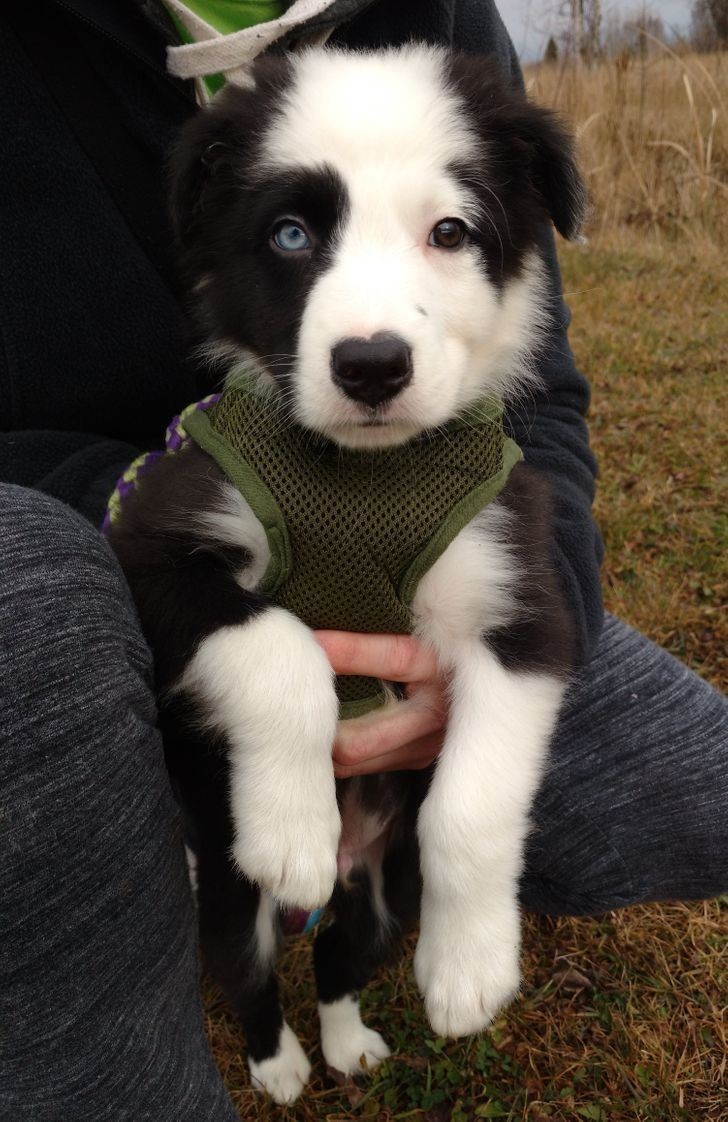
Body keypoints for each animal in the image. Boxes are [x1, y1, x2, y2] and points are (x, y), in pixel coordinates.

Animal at [107, 46, 583, 1104]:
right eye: (290, 235)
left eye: (450, 232)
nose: (371, 366)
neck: (365, 473)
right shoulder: (154, 541)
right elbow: (279, 644)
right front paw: (289, 825)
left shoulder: (520, 593)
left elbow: (472, 801)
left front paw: (470, 966)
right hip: (229, 898)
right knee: (248, 974)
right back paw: (280, 1061)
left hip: (380, 891)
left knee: (338, 957)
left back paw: (348, 1040)